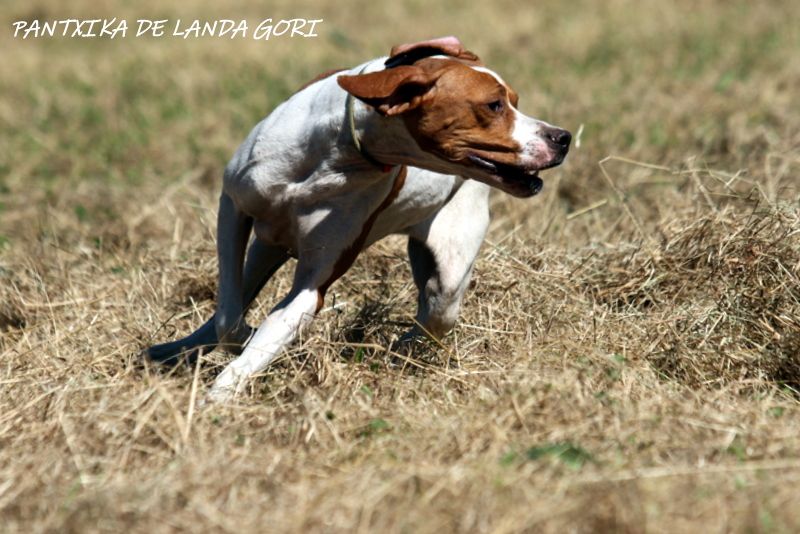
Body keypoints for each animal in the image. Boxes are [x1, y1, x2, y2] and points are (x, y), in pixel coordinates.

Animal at [144, 35, 568, 402]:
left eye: (514, 101)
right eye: (495, 105)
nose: (562, 137)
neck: (339, 154)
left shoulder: (314, 283)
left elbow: (270, 329)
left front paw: (221, 395)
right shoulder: (233, 208)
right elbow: (229, 314)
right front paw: (235, 344)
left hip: (449, 267)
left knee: (436, 312)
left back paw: (401, 350)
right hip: (267, 242)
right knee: (239, 291)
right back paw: (175, 349)